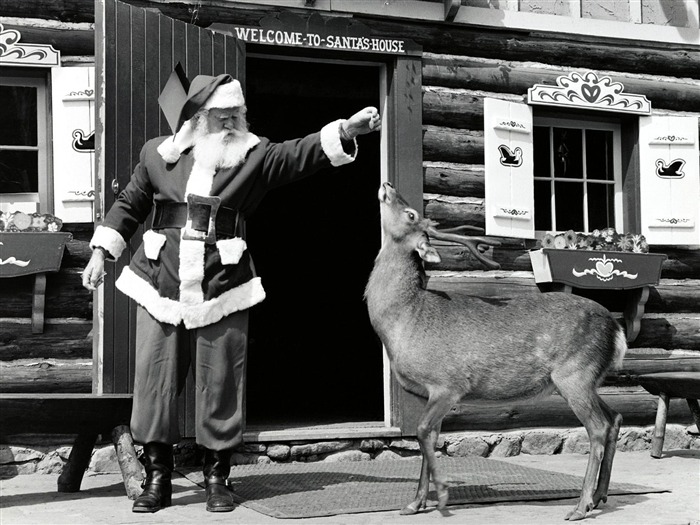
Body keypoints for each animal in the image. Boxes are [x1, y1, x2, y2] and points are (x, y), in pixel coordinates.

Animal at [364, 182, 628, 516]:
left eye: (410, 214)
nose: (387, 185)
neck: (405, 322)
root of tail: (616, 329)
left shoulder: (449, 383)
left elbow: (422, 431)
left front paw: (443, 495)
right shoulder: (430, 391)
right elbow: (430, 438)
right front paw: (415, 502)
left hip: (575, 373)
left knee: (597, 428)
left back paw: (581, 506)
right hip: (587, 378)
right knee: (615, 418)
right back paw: (600, 495)